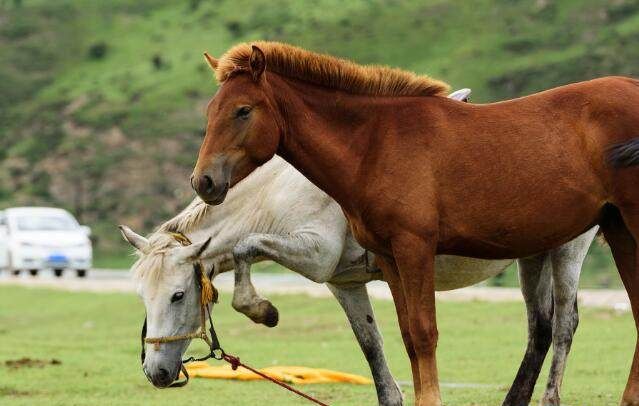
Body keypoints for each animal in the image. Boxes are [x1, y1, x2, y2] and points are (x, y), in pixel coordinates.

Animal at [124, 90, 596, 404]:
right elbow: (373, 350)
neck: (276, 193)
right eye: (142, 296)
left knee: (565, 325)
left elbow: (246, 247)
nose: (156, 372)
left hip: (567, 251)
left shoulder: (315, 254)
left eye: (178, 295)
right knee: (540, 328)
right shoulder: (344, 283)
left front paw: (262, 310)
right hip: (533, 254)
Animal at [192, 42, 639, 406]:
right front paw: (259, 308)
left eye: (243, 110)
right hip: (610, 234)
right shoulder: (389, 258)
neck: (375, 144)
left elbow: (425, 334)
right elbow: (406, 335)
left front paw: (260, 308)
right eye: (210, 111)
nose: (203, 181)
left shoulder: (414, 249)